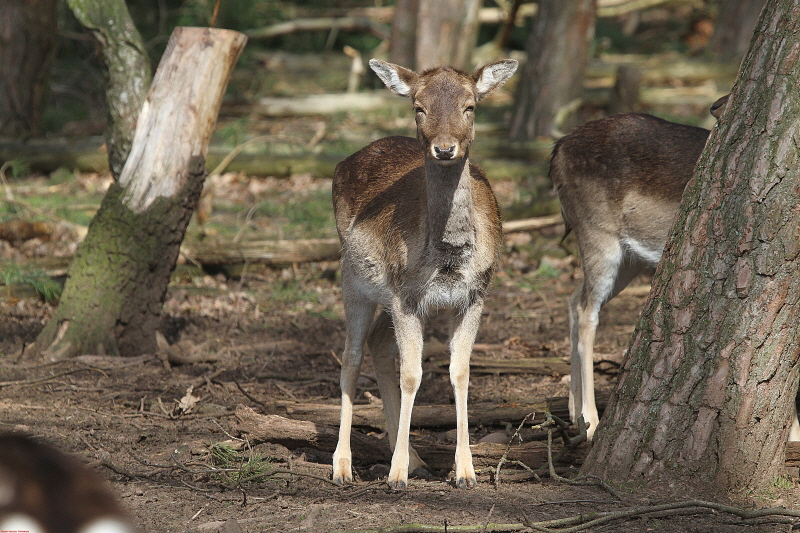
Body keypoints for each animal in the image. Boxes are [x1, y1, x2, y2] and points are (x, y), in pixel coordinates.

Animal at [332, 57, 520, 486]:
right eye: (419, 107)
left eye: (471, 106)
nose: (445, 148)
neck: (449, 257)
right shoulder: (404, 294)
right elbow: (412, 375)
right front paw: (396, 474)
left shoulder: (474, 294)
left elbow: (460, 371)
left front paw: (465, 471)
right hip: (354, 278)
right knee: (351, 356)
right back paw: (343, 465)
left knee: (378, 344)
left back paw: (417, 459)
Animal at [552, 93, 732, 438]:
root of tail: (559, 147)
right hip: (598, 236)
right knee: (585, 311)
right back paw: (591, 423)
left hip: (631, 260)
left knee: (573, 298)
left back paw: (572, 411)